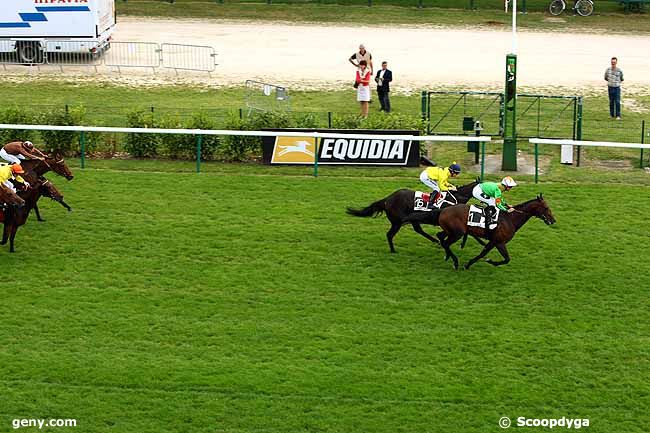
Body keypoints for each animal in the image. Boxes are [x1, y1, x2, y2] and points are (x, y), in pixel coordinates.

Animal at [346, 178, 478, 253]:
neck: (456, 198)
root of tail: (387, 199)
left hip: (410, 219)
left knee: (418, 229)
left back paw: (434, 241)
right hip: (397, 222)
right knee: (390, 234)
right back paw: (393, 250)